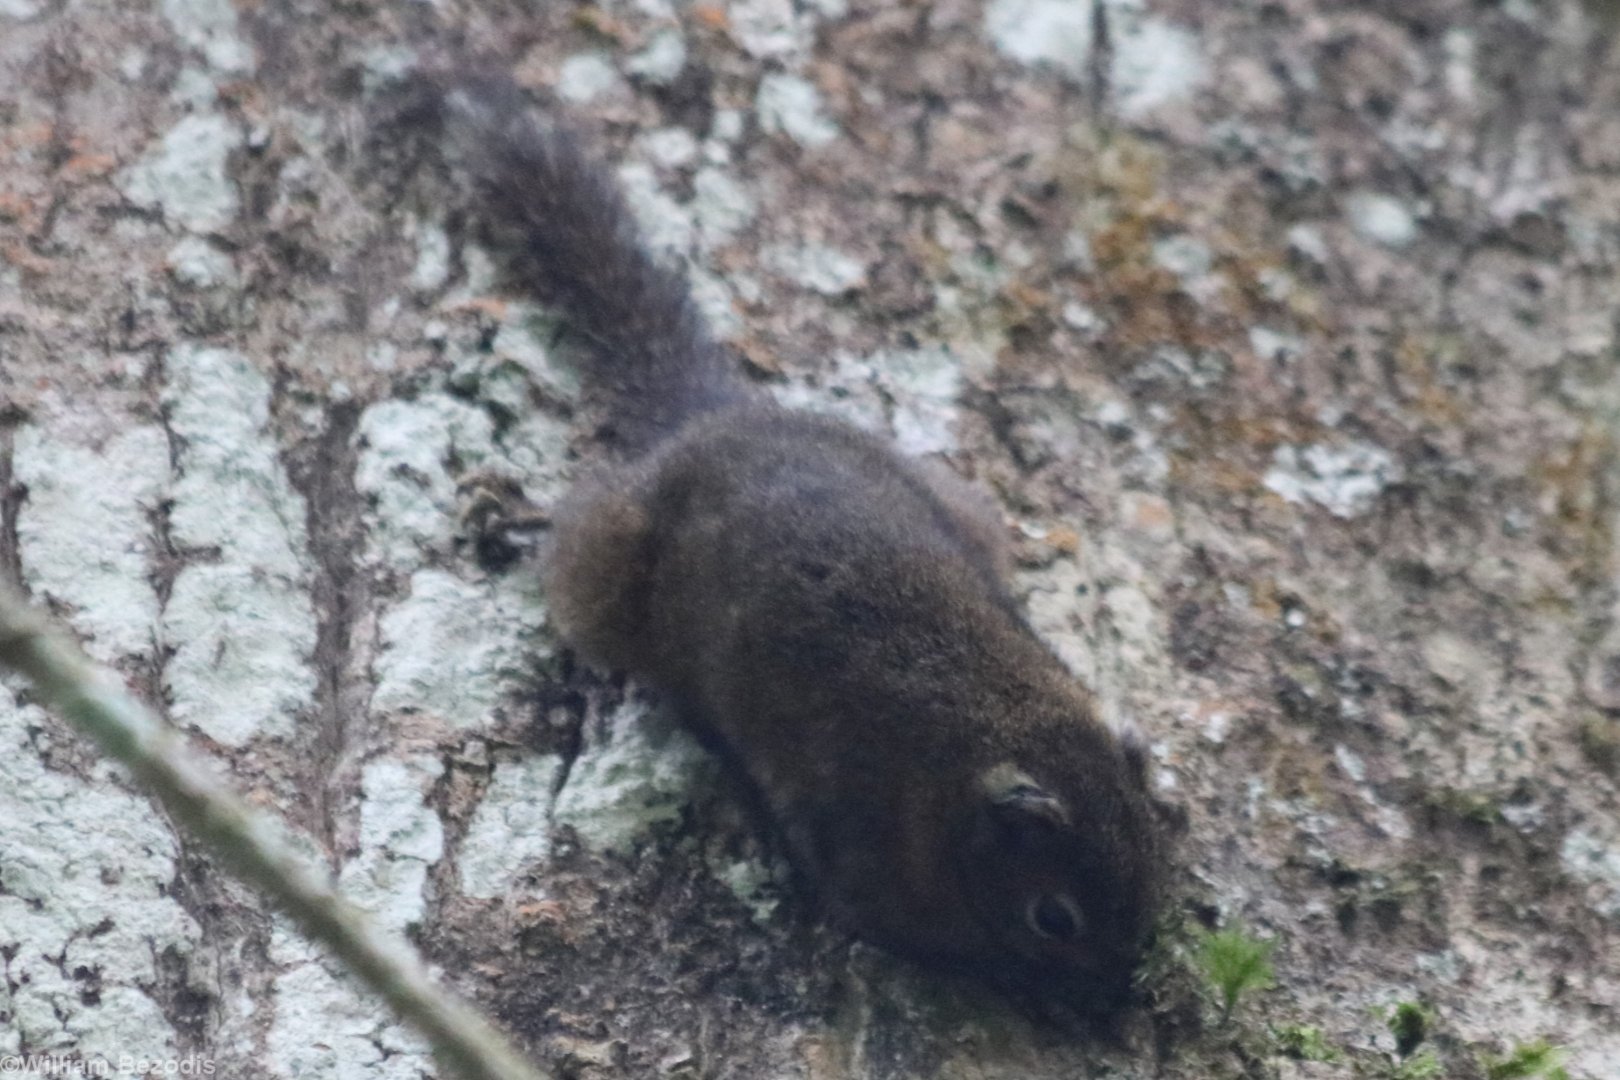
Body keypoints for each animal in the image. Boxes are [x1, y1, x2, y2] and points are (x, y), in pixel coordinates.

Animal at [430, 74, 1167, 1014]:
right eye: (1054, 919)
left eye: (1152, 871)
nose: (1117, 998)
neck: (978, 750)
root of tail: (717, 422)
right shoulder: (867, 854)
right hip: (604, 577)